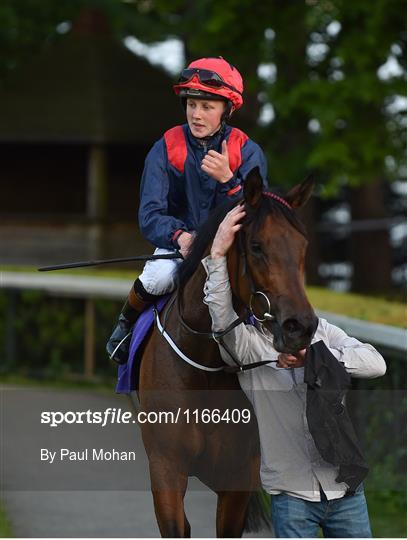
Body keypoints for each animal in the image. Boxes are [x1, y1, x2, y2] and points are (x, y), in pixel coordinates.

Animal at [139, 168, 318, 536]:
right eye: (256, 245)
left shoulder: (239, 475)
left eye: (303, 246)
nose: (301, 326)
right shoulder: (165, 466)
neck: (204, 361)